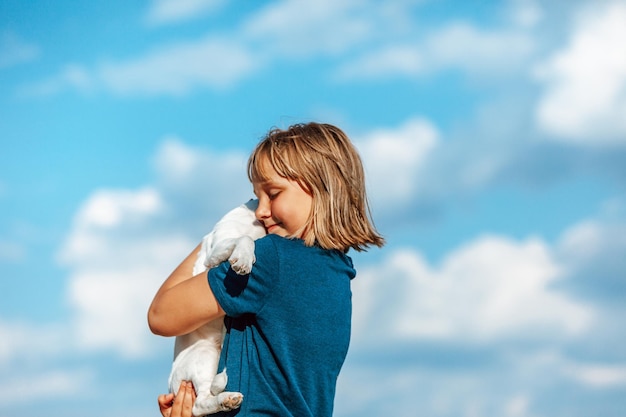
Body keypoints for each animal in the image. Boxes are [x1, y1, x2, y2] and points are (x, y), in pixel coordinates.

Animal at [167, 200, 264, 414]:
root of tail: (172, 386)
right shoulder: (215, 252)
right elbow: (244, 238)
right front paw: (244, 258)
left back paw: (227, 400)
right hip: (206, 355)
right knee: (199, 405)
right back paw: (226, 399)